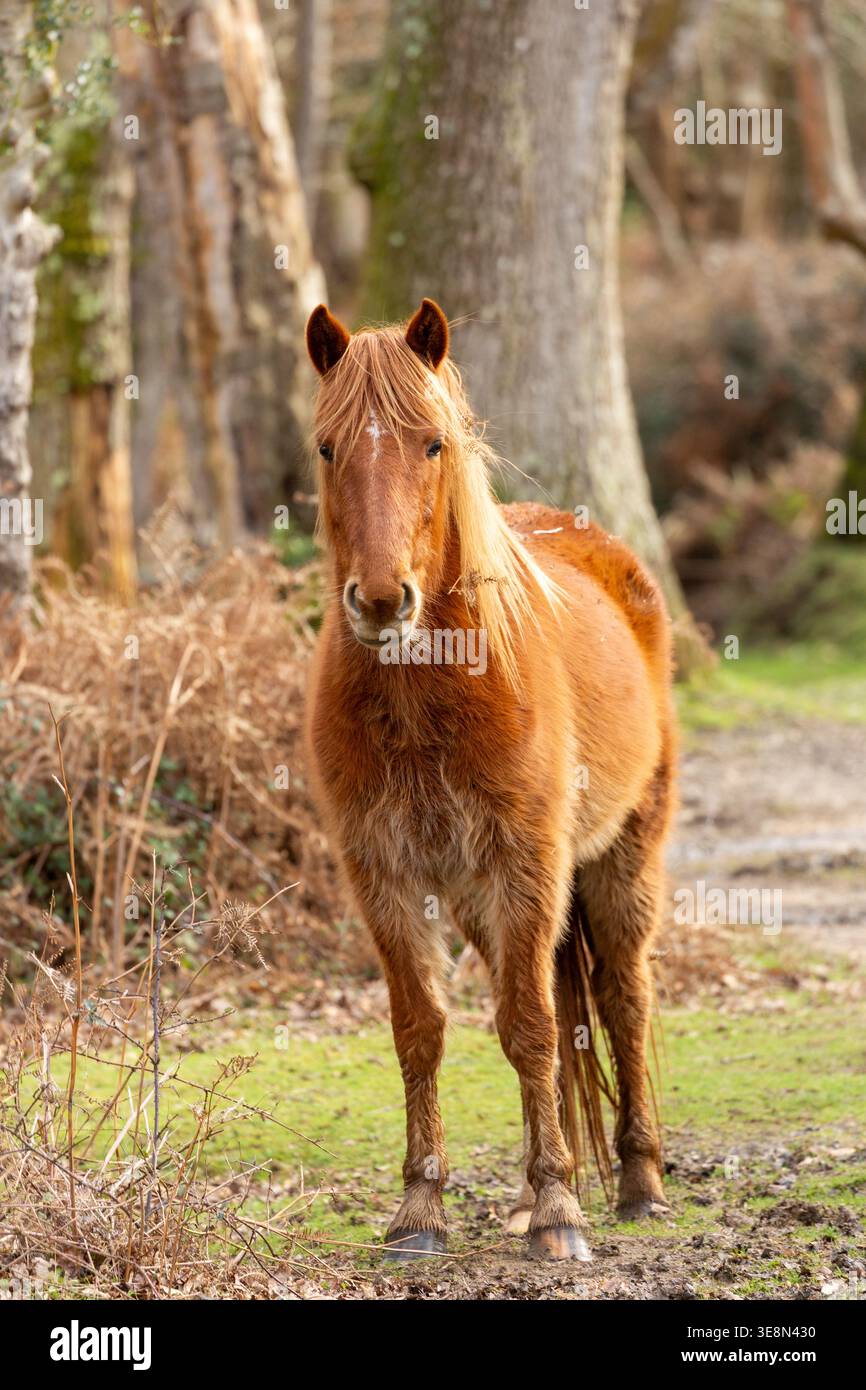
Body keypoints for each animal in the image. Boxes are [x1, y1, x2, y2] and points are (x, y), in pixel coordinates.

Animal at [304, 297, 677, 1261]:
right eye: (326, 448)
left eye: (432, 443)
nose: (382, 600)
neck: (425, 699)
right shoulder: (387, 877)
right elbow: (421, 1032)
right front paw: (420, 1210)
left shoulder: (528, 868)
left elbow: (533, 1028)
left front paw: (558, 1213)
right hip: (478, 899)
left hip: (622, 861)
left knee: (623, 1000)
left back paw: (638, 1184)